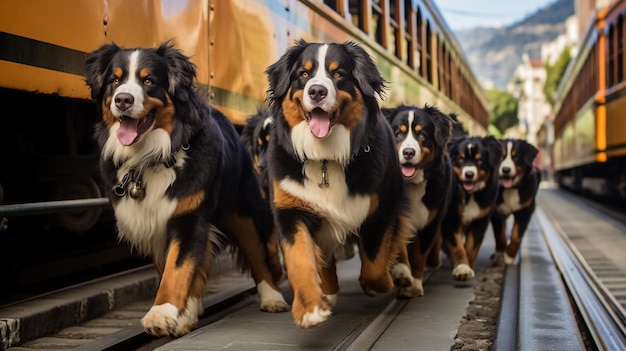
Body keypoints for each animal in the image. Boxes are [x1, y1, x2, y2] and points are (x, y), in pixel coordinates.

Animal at [83, 40, 288, 338]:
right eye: (115, 80)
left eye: (148, 80)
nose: (123, 99)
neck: (151, 157)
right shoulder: (153, 222)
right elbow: (175, 268)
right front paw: (177, 315)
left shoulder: (188, 216)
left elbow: (177, 269)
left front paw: (161, 314)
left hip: (245, 210)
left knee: (258, 255)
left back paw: (272, 299)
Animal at [262, 40, 410, 328]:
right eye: (303, 74)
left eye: (338, 73)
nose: (317, 91)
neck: (324, 158)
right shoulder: (291, 209)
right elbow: (299, 258)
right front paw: (309, 308)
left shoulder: (381, 209)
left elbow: (375, 263)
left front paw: (381, 282)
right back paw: (328, 293)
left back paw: (402, 273)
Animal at [380, 105, 454, 300]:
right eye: (398, 133)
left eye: (422, 135)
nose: (408, 152)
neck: (411, 185)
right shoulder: (396, 216)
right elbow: (399, 247)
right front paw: (402, 273)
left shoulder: (430, 222)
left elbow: (419, 256)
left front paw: (415, 285)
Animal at [438, 135, 502, 280]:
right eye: (460, 158)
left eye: (479, 160)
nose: (469, 174)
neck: (469, 195)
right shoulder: (451, 218)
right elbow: (457, 247)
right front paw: (462, 268)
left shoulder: (480, 220)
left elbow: (471, 247)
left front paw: (470, 267)